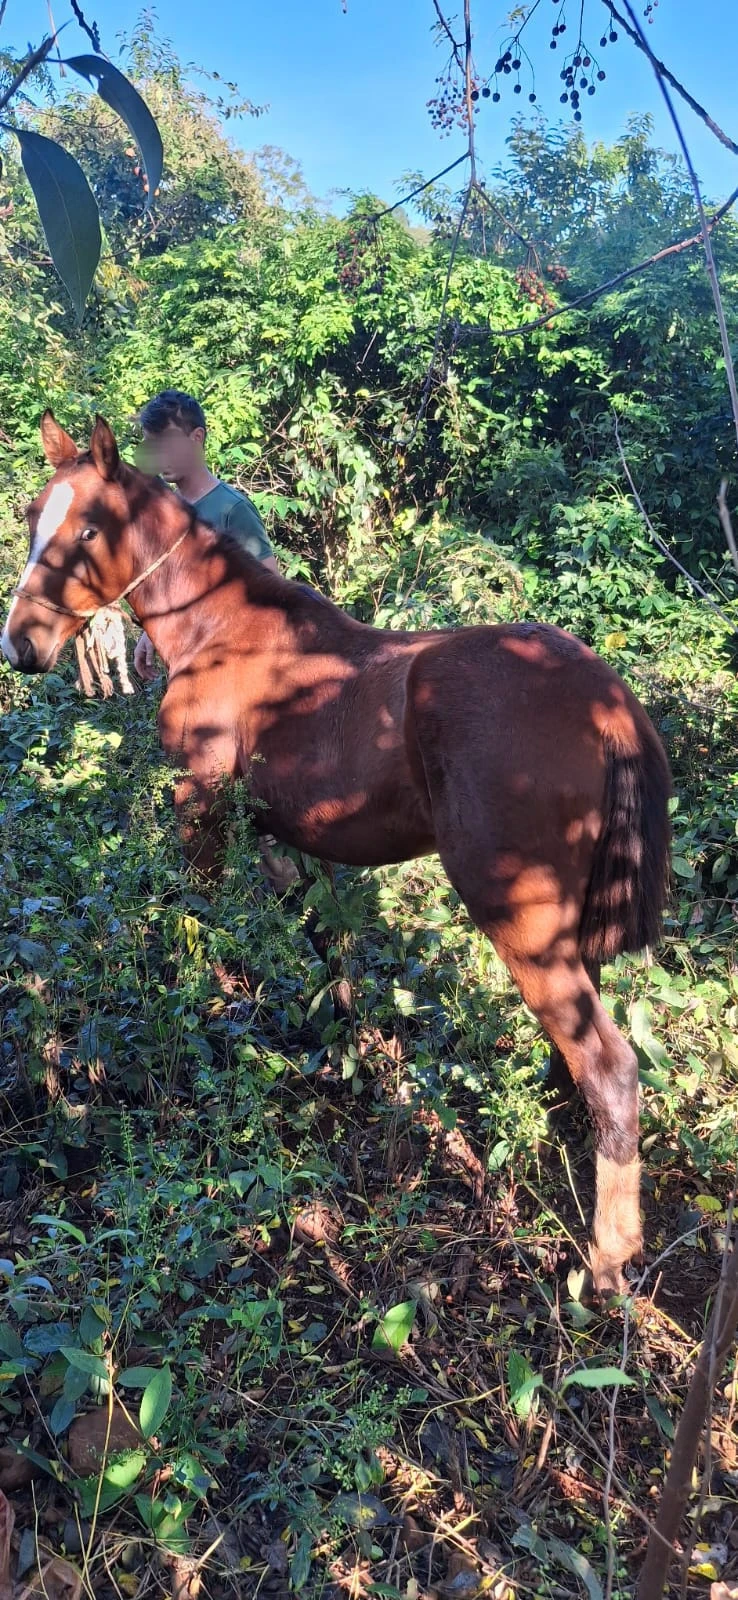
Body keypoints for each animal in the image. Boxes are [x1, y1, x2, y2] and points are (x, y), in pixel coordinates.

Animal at [1, 413, 672, 1298]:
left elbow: (196, 931)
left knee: (610, 1067)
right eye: (32, 516)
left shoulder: (199, 805)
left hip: (519, 918)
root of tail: (606, 697)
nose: (21, 643)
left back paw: (607, 1258)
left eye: (87, 529)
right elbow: (322, 944)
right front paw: (348, 1051)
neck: (223, 634)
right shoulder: (279, 835)